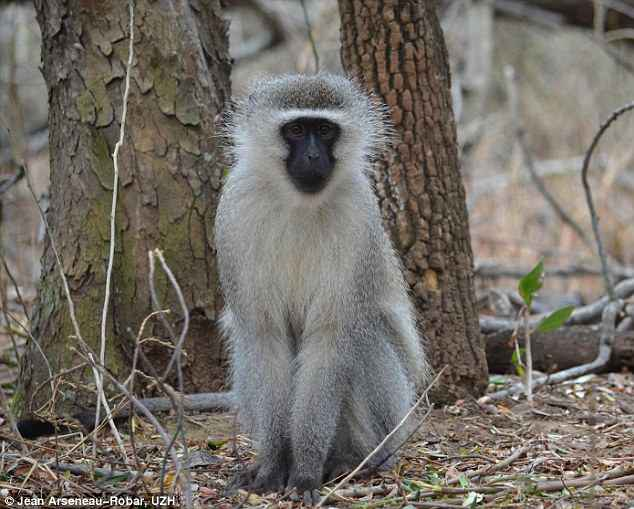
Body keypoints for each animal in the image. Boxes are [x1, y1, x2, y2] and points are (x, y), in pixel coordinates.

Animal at [215, 72, 428, 504]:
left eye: (326, 131)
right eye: (296, 130)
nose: (313, 157)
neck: (300, 203)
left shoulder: (359, 218)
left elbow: (329, 340)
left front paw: (305, 471)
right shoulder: (236, 214)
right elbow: (264, 337)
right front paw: (273, 465)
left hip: (392, 424)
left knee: (364, 335)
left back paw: (350, 461)